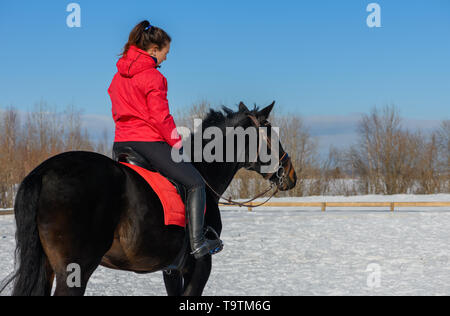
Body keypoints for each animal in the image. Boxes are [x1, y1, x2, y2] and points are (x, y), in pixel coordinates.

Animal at [1, 102, 298, 296]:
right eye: (272, 133)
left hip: (48, 267)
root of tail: (43, 173)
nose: (291, 173)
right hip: (74, 272)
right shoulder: (200, 265)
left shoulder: (171, 269)